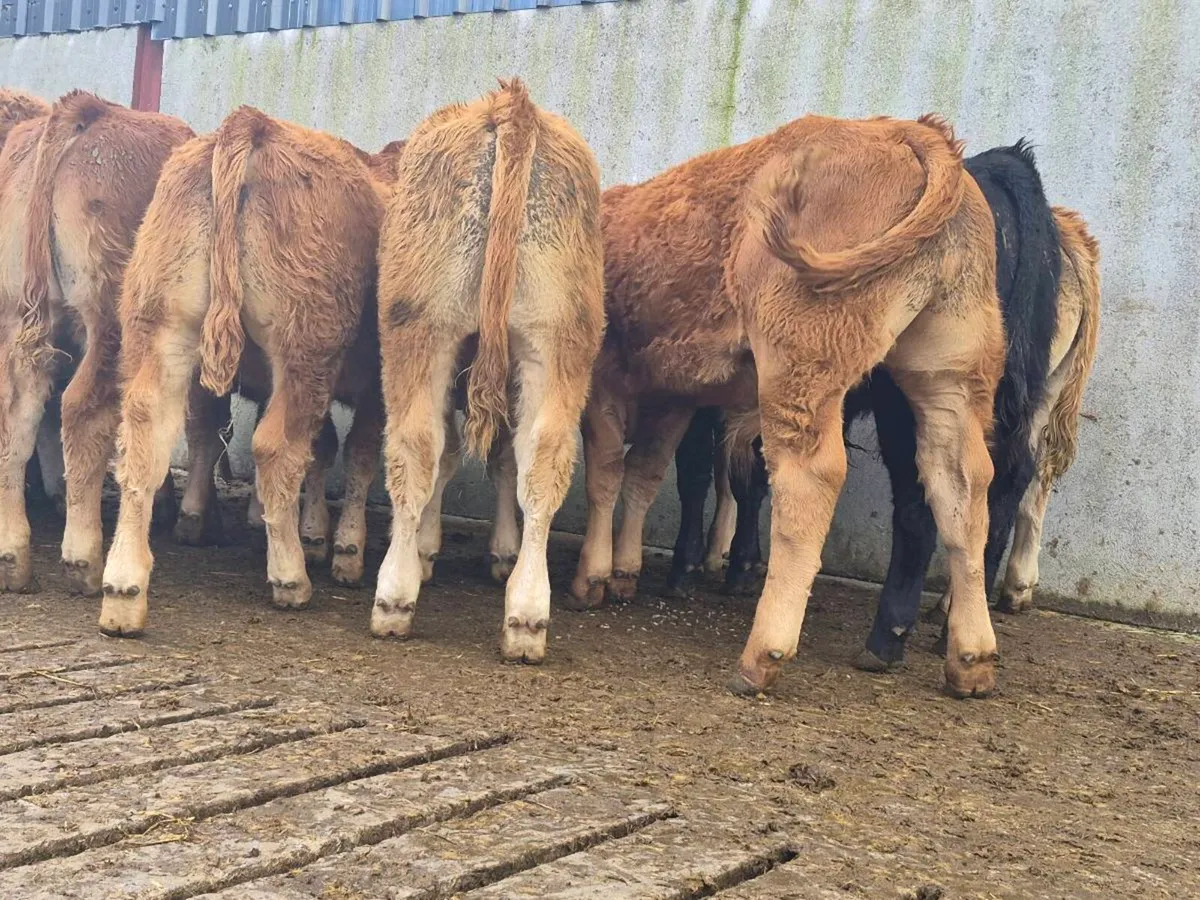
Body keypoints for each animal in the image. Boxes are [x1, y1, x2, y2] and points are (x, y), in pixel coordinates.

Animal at [0, 91, 193, 595]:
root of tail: (88, 110)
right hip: (106, 321)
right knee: (82, 407)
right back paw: (83, 555)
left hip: (21, 314)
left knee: (19, 412)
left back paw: (13, 554)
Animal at [98, 108, 406, 636]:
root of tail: (253, 125)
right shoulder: (376, 389)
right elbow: (358, 454)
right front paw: (344, 549)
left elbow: (326, 449)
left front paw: (319, 535)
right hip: (306, 349)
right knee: (276, 448)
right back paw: (290, 578)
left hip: (163, 326)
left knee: (146, 436)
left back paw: (123, 589)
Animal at [371, 79, 604, 665]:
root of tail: (510, 105)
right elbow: (498, 456)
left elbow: (450, 454)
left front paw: (429, 550)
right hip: (558, 340)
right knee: (542, 459)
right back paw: (526, 617)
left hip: (421, 328)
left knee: (416, 446)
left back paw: (394, 597)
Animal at [566, 113, 1005, 697]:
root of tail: (907, 131)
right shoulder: (676, 396)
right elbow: (644, 475)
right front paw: (623, 572)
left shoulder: (604, 382)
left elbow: (606, 475)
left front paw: (590, 576)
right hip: (949, 373)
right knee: (962, 482)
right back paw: (971, 658)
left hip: (800, 360)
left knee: (809, 477)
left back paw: (763, 653)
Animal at [671, 146, 1101, 673]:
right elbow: (740, 475)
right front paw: (734, 561)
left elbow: (706, 471)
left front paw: (698, 564)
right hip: (1031, 393)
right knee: (1012, 482)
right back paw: (974, 610)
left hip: (920, 395)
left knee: (928, 497)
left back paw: (889, 636)